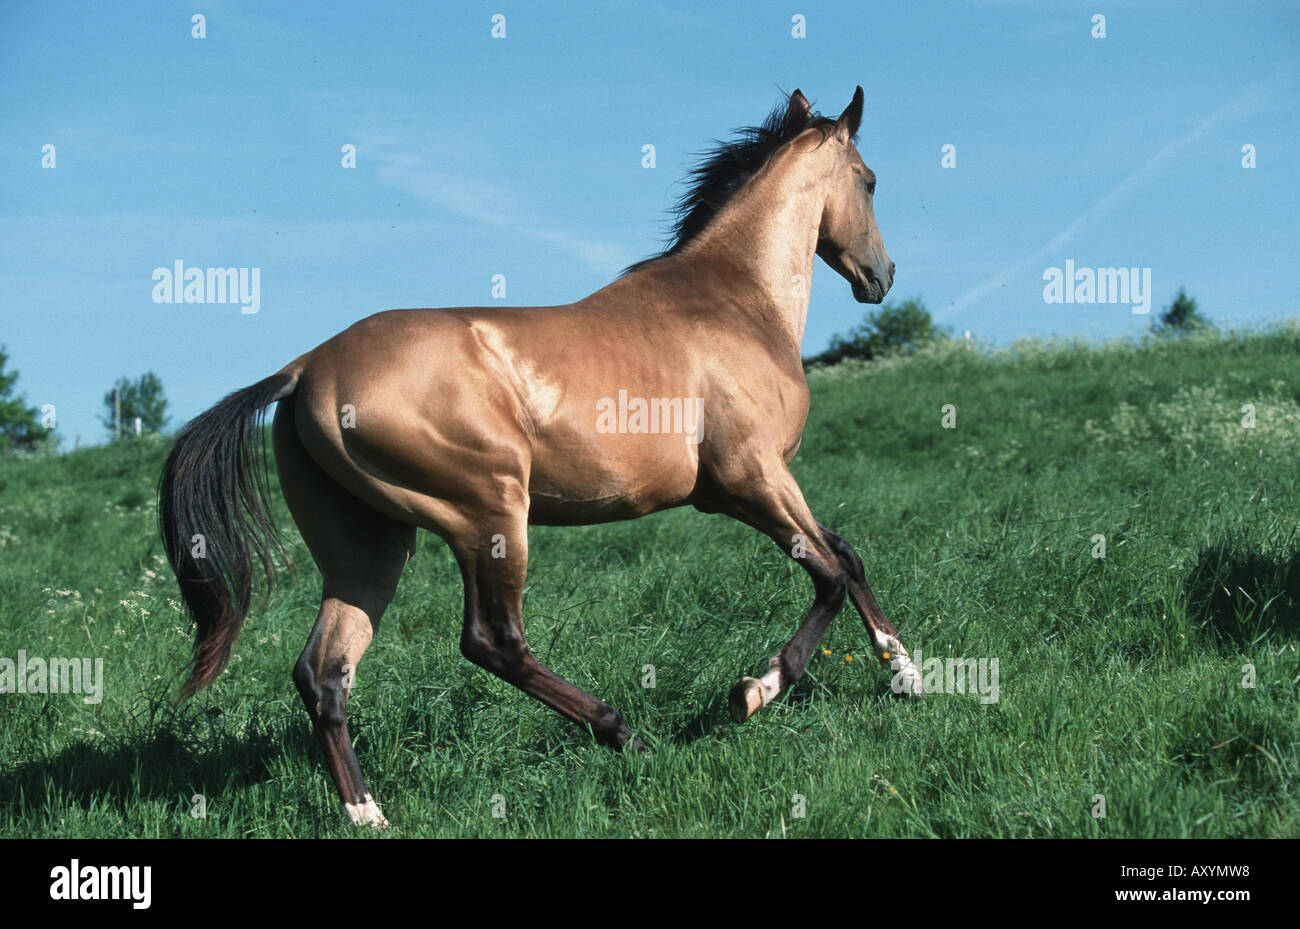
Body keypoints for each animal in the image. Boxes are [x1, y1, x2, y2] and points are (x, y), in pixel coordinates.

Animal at [158, 86, 923, 827]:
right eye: (871, 181)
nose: (882, 276)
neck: (736, 302)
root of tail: (305, 370)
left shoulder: (765, 482)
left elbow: (847, 554)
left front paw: (906, 674)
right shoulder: (748, 478)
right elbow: (828, 574)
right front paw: (752, 692)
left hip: (369, 546)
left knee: (324, 670)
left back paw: (368, 812)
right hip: (489, 513)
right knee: (491, 641)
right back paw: (625, 734)